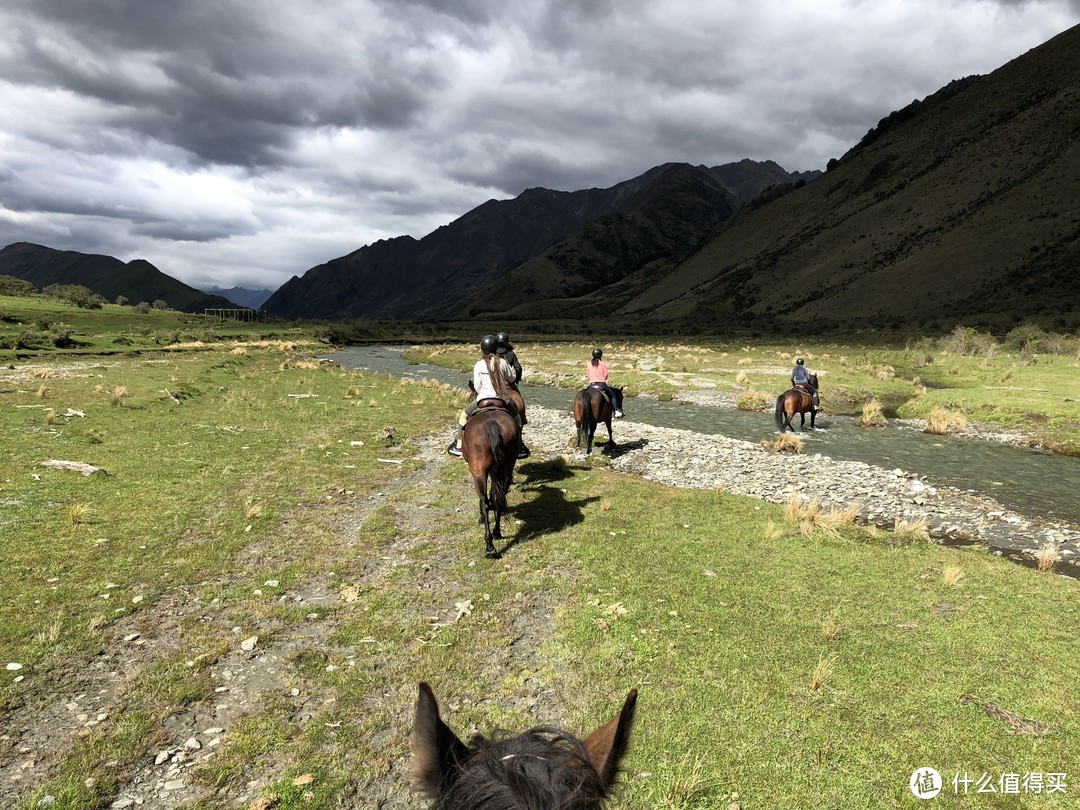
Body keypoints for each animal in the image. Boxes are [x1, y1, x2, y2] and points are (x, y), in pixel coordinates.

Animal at [460, 406, 518, 557]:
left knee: (484, 501)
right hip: (507, 469)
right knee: (500, 499)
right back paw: (497, 532)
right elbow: (494, 493)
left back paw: (489, 545)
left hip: (479, 472)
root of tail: (491, 423)